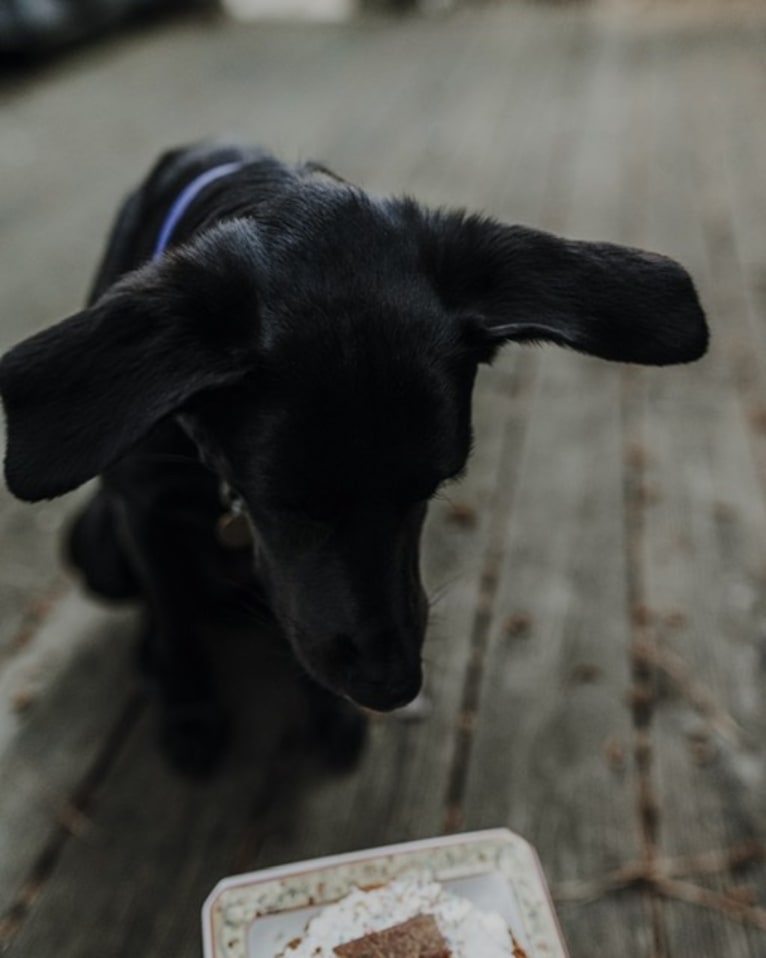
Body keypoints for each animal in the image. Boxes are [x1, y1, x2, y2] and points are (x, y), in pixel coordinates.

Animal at [0, 141, 708, 772]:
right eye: (285, 504)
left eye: (431, 487)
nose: (392, 687)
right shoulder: (144, 512)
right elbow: (176, 619)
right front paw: (190, 713)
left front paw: (328, 713)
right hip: (92, 546)